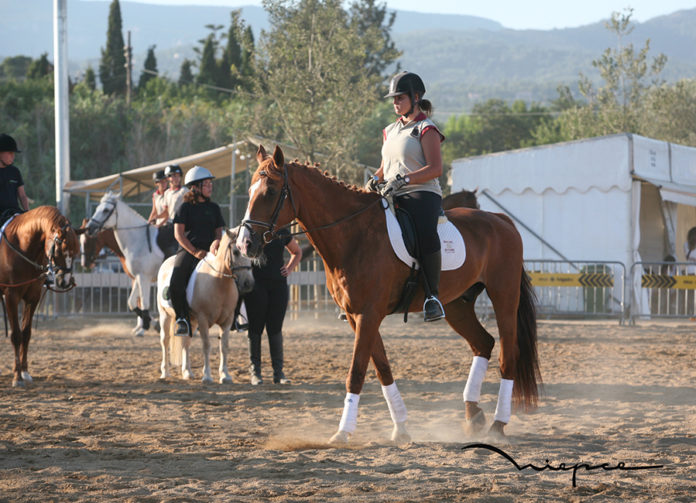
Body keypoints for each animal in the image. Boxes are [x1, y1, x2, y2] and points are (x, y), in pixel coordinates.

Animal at [0, 207, 79, 388]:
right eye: (59, 250)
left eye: (76, 252)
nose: (64, 281)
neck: (23, 248)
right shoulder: (11, 296)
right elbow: (16, 335)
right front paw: (17, 377)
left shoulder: (33, 297)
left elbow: (26, 334)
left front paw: (24, 372)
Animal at [84, 191, 164, 336]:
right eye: (98, 208)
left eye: (106, 210)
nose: (89, 228)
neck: (139, 239)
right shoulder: (137, 277)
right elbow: (132, 303)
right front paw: (153, 324)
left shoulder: (144, 277)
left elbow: (144, 303)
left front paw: (145, 327)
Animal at [158, 229, 256, 386]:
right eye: (235, 252)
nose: (248, 284)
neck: (218, 281)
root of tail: (167, 262)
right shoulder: (203, 320)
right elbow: (206, 346)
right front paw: (207, 376)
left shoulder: (227, 320)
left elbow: (224, 346)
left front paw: (225, 376)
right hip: (165, 315)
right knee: (165, 340)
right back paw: (165, 373)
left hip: (190, 320)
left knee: (186, 342)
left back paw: (187, 373)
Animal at [237, 146, 540, 444]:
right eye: (250, 190)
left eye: (271, 191)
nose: (244, 244)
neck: (353, 234)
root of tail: (501, 220)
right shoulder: (356, 316)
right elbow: (381, 368)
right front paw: (401, 428)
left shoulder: (368, 315)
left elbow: (357, 372)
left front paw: (343, 432)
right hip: (456, 306)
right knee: (483, 343)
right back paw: (474, 416)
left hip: (504, 297)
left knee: (508, 354)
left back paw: (498, 425)